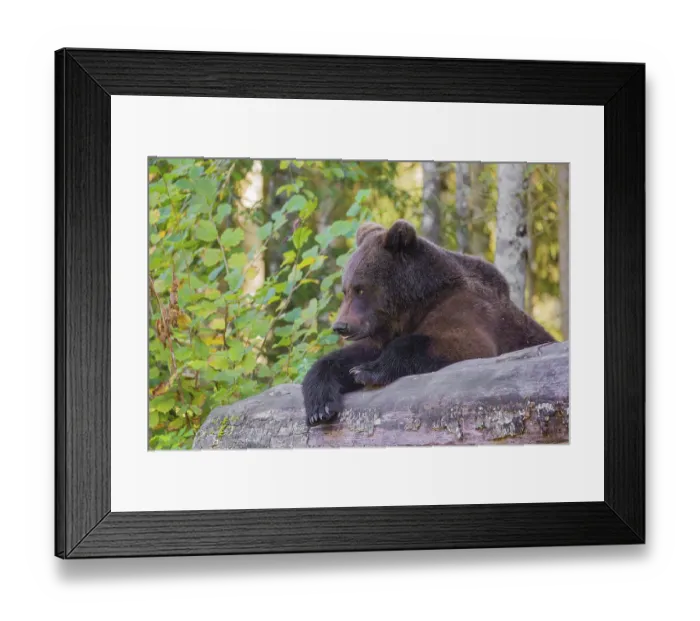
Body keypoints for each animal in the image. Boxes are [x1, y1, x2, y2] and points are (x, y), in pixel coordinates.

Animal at [302, 219, 555, 426]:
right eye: (346, 290)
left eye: (360, 289)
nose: (341, 326)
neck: (414, 305)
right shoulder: (388, 330)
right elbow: (346, 357)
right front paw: (320, 405)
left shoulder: (466, 309)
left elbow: (459, 343)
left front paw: (366, 371)